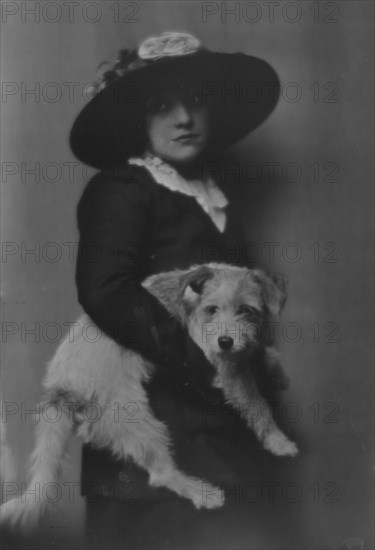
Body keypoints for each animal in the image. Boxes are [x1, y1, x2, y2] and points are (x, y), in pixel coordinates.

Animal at [0, 264, 300, 532]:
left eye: (246, 310)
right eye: (212, 309)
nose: (225, 342)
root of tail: (61, 389)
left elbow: (259, 355)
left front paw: (275, 369)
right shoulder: (226, 370)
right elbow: (258, 405)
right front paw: (278, 441)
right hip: (137, 421)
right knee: (161, 474)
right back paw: (200, 491)